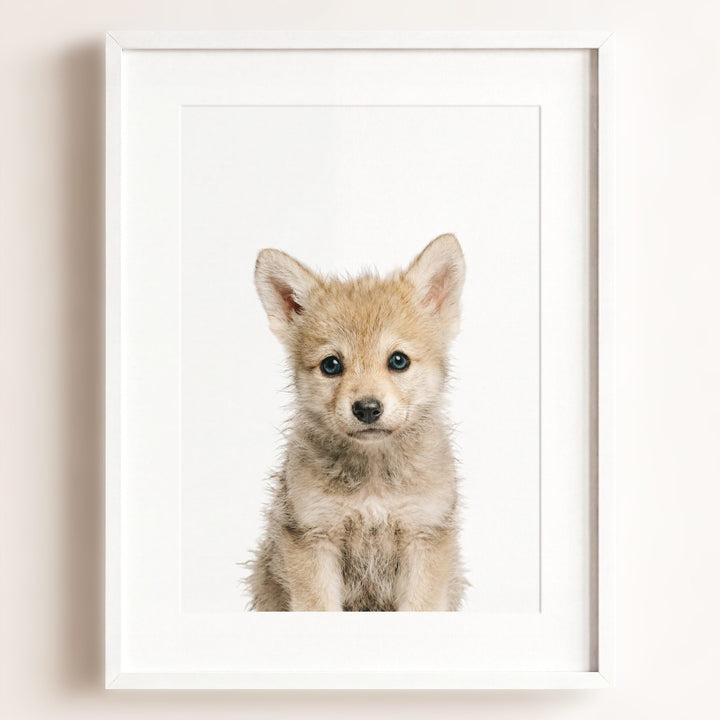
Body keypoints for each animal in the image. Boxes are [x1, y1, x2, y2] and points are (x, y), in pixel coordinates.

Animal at [246, 233, 466, 611]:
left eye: (398, 360)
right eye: (331, 365)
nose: (367, 409)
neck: (373, 481)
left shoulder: (424, 536)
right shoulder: (313, 537)